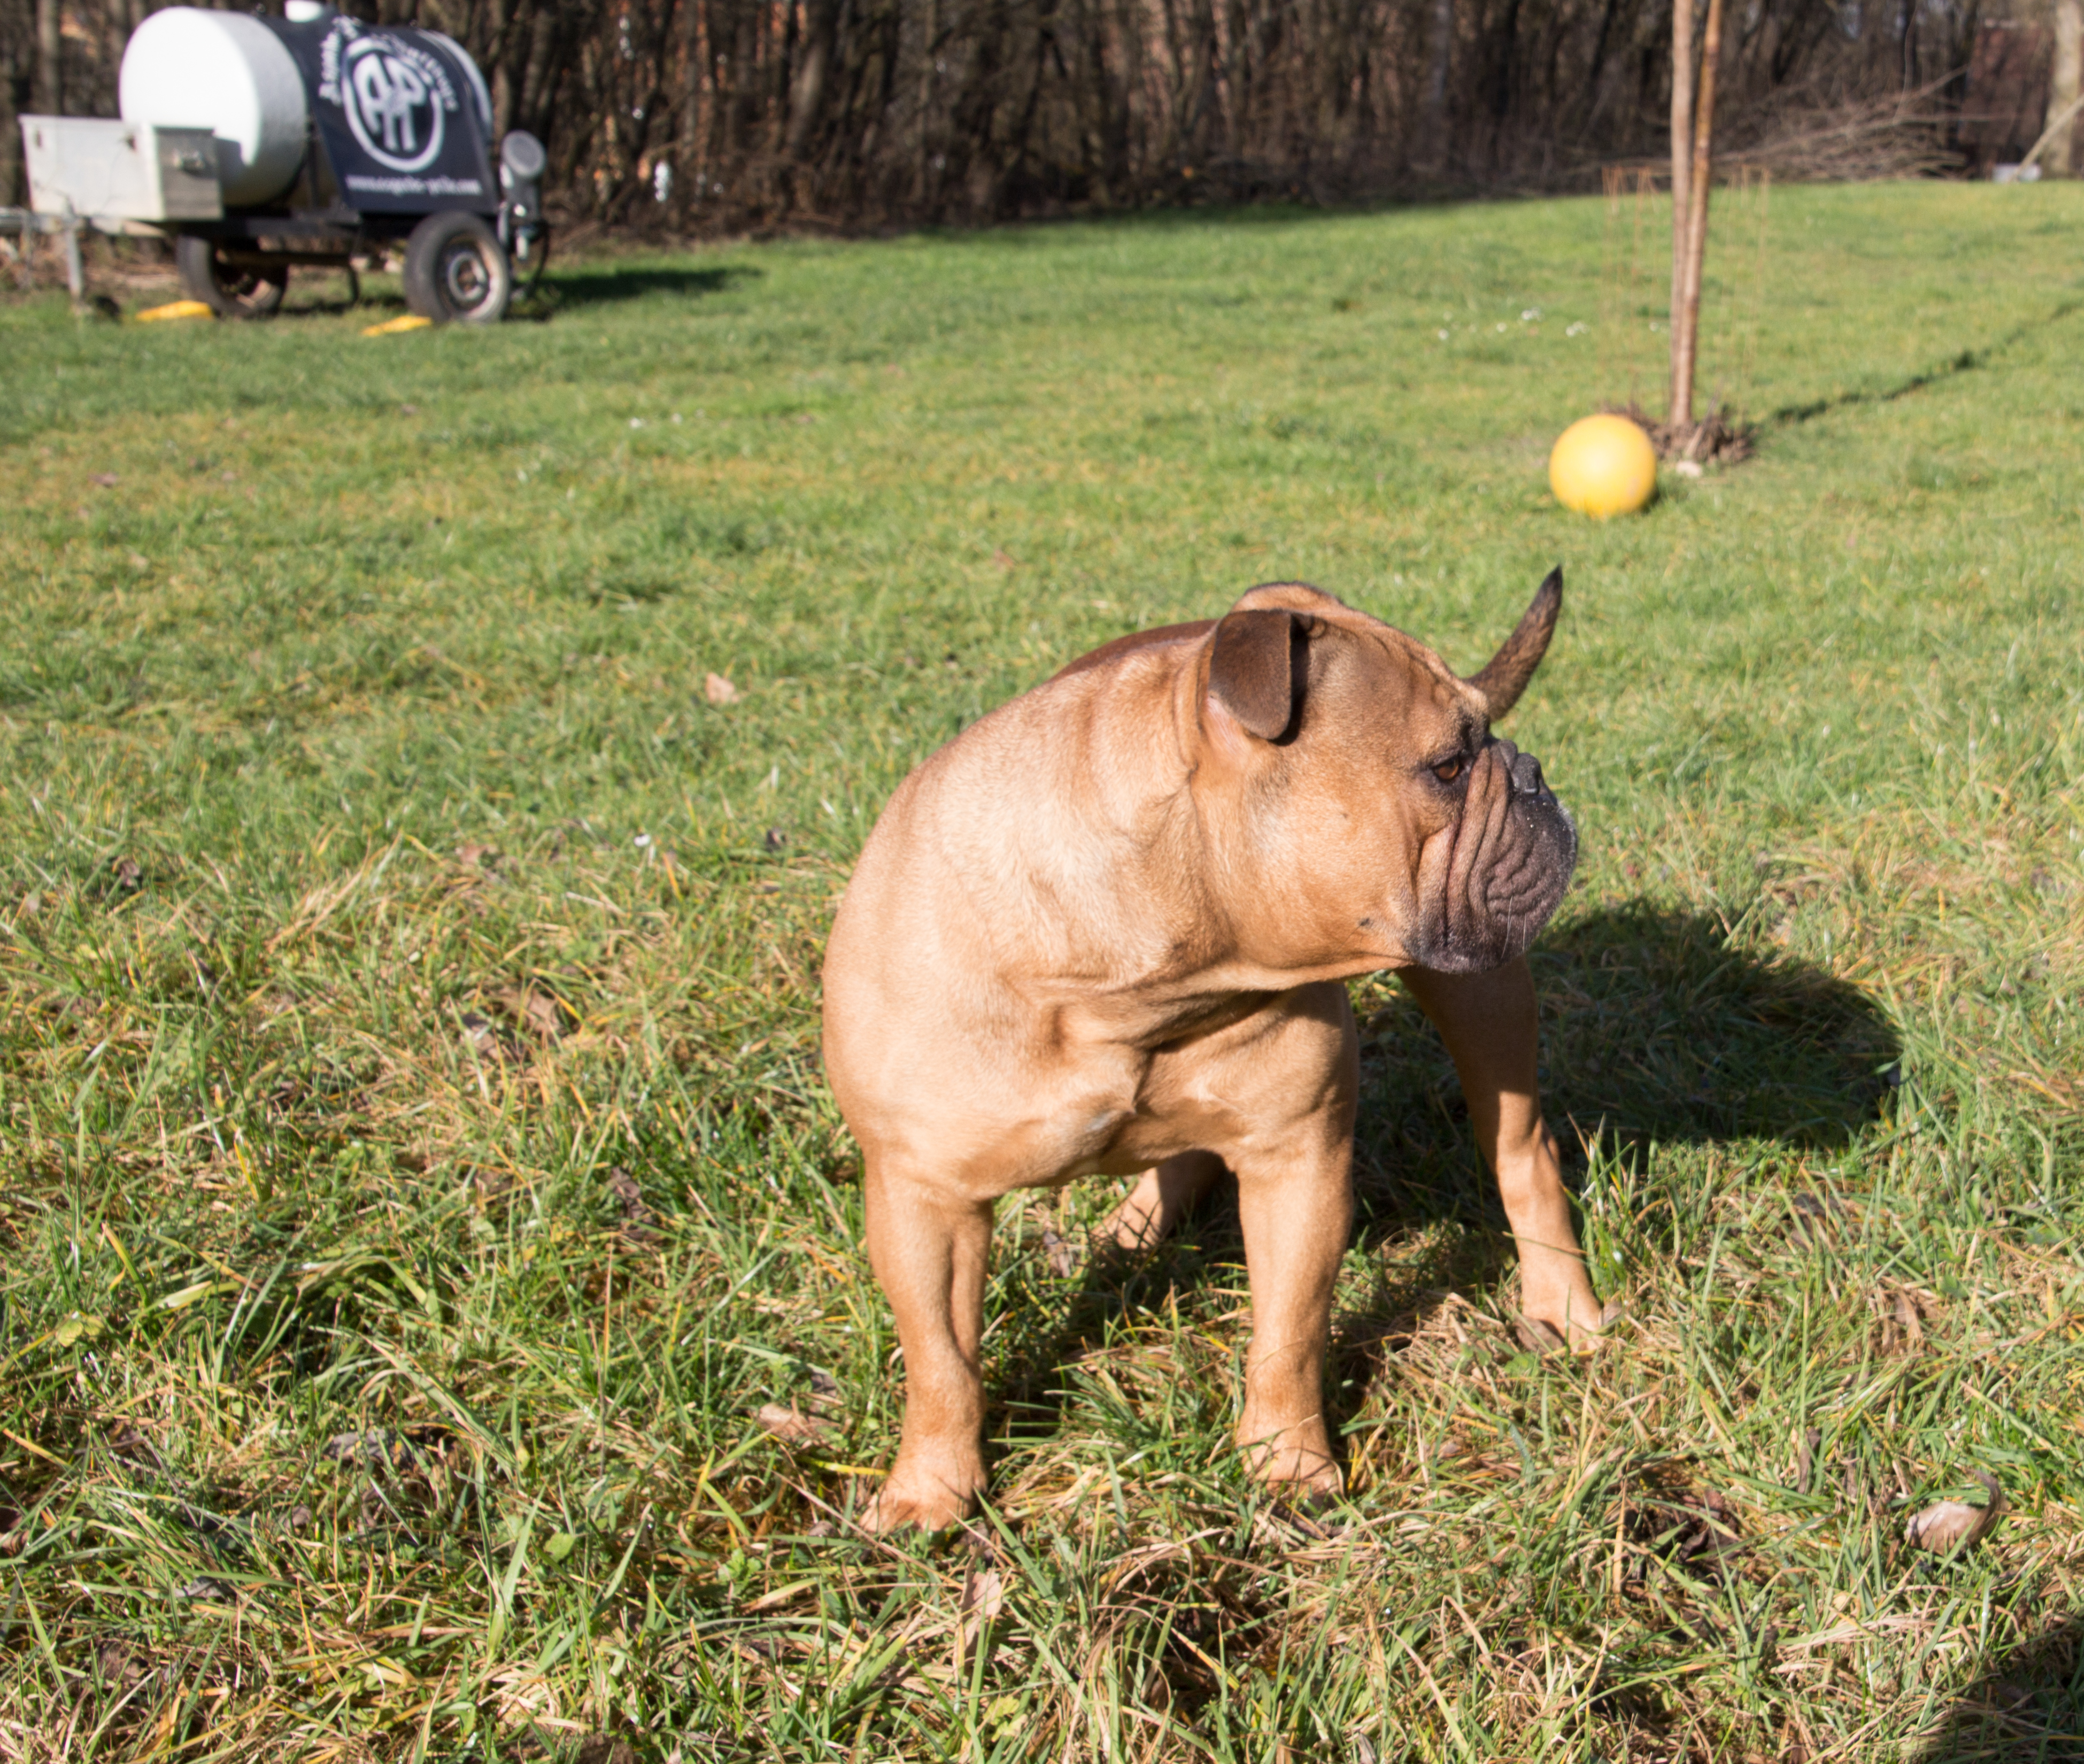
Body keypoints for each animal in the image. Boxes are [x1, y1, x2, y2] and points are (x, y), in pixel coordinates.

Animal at [821, 575, 1600, 1535]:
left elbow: (1287, 1333)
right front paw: (931, 1489)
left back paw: (1562, 1306)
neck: (1137, 976)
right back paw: (1129, 1228)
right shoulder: (921, 1196)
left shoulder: (1295, 1162)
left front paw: (1288, 1462)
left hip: (1486, 994)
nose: (1530, 774)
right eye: (1448, 767)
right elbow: (939, 1359)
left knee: (1519, 1148)